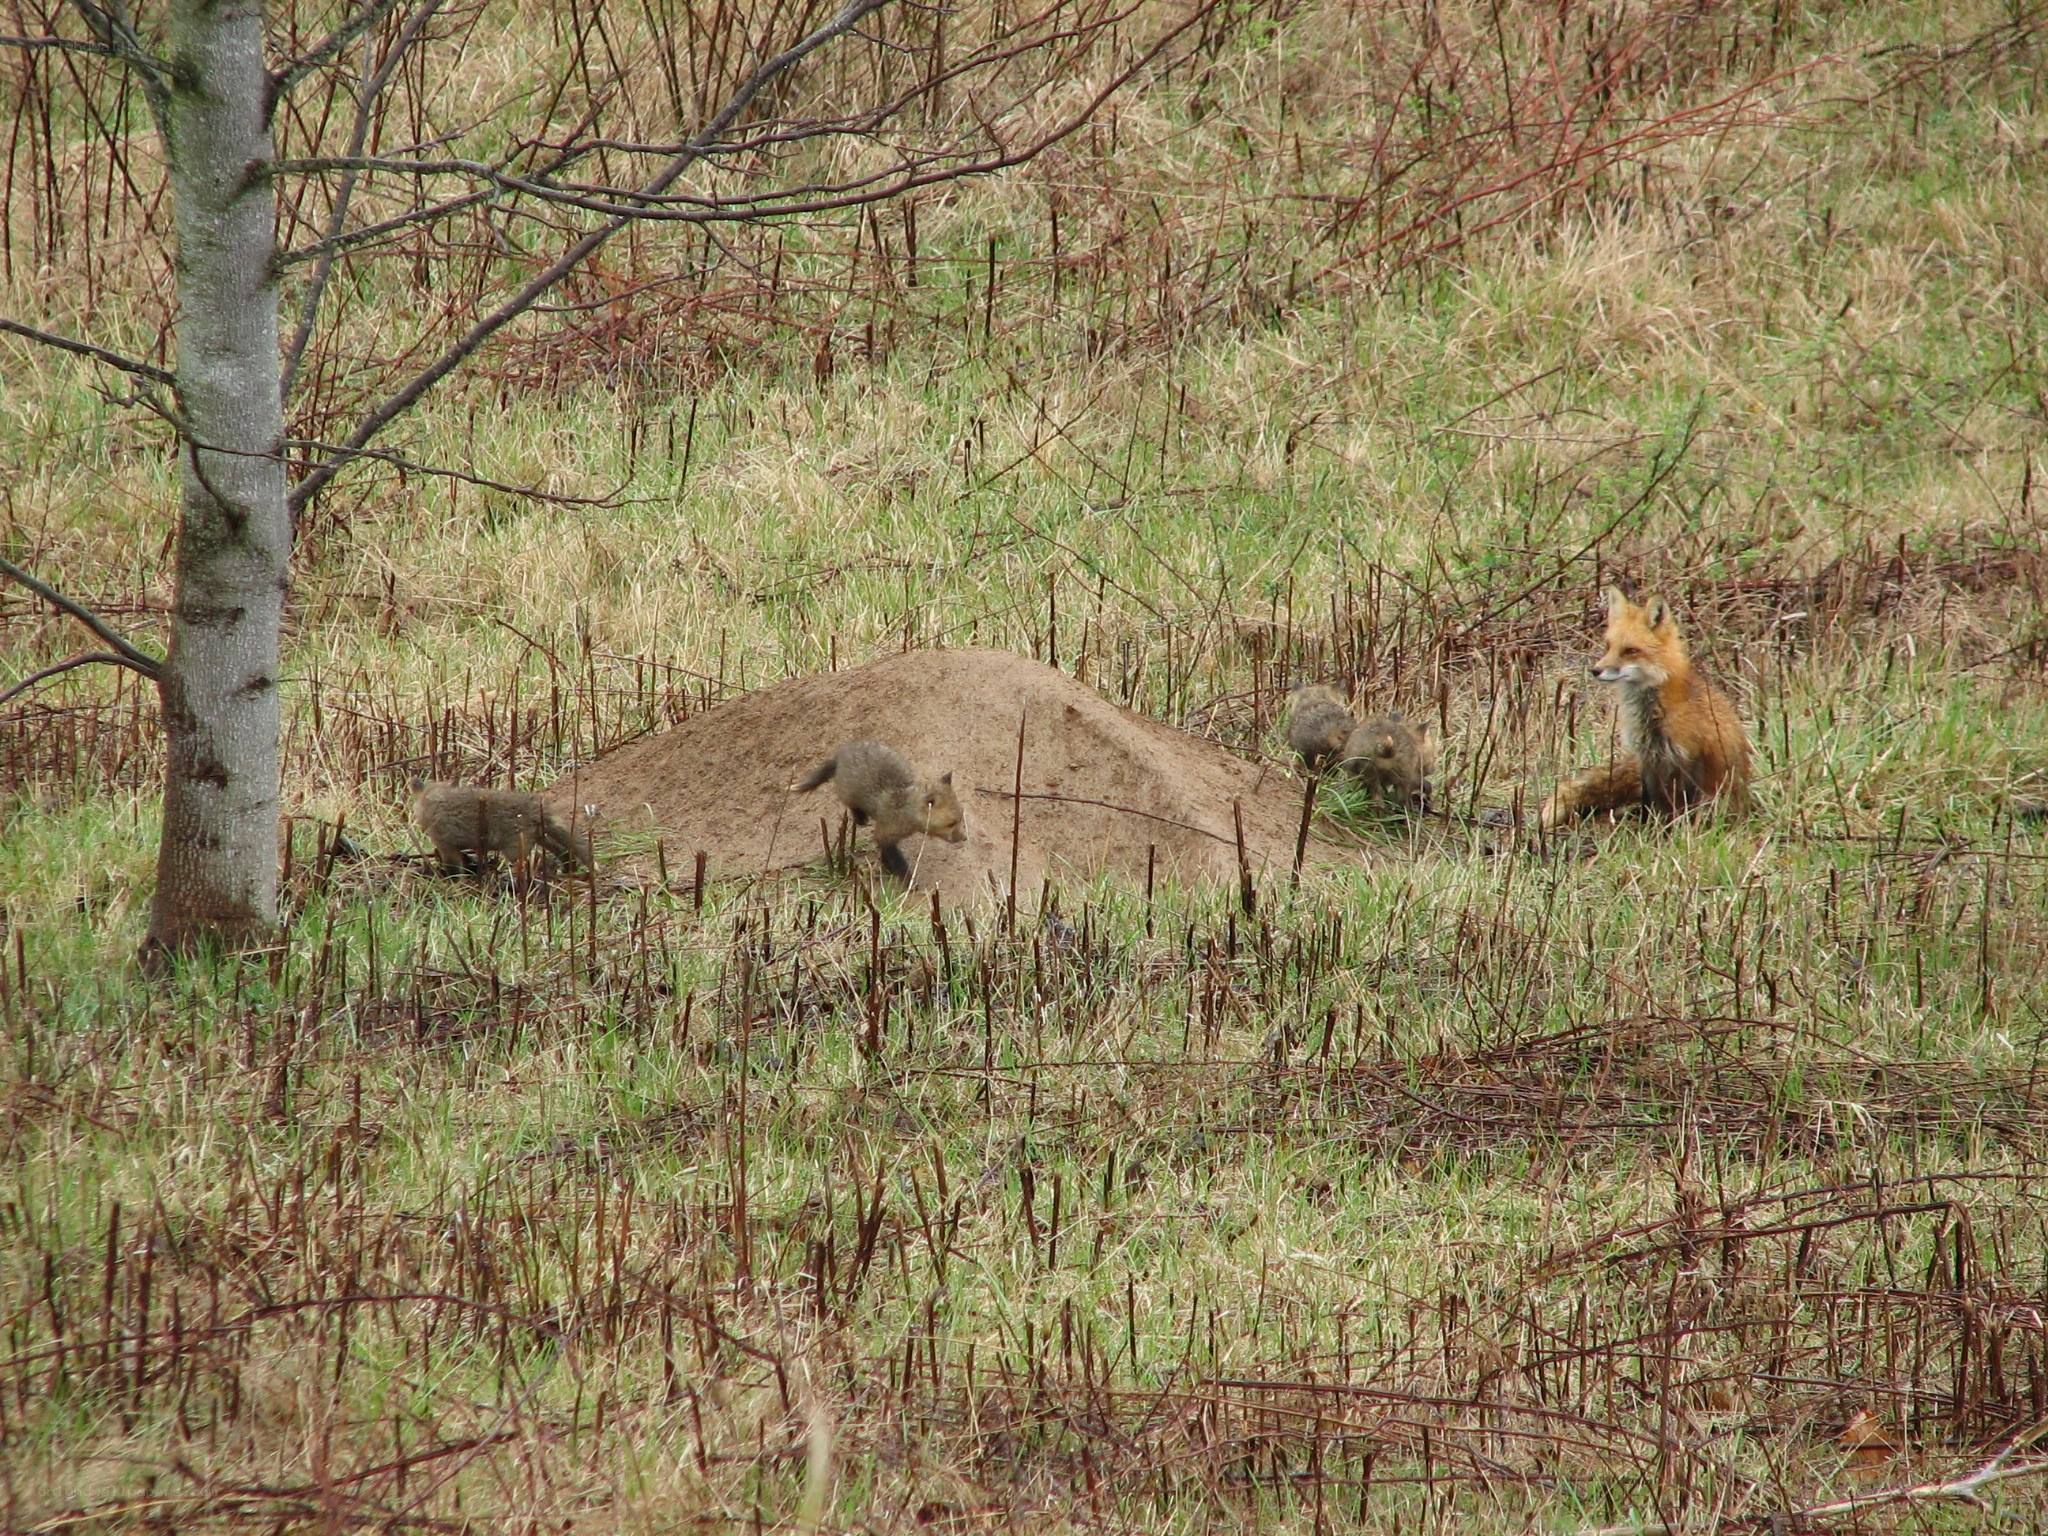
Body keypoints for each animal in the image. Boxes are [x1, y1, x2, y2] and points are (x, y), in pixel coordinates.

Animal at [410, 776, 593, 879]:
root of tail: (536, 806)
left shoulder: (446, 845)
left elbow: (454, 870)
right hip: (539, 837)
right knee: (565, 852)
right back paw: (567, 870)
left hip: (515, 848)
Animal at [792, 740, 966, 881]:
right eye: (951, 823)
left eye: (961, 818)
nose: (964, 838)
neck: (904, 810)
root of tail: (842, 752)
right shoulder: (884, 834)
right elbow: (895, 859)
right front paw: (906, 879)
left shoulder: (888, 838)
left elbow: (886, 853)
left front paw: (887, 866)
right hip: (848, 793)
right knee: (851, 805)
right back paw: (860, 818)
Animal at [1538, 586, 1751, 830]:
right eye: (1608, 646)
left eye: (1630, 650)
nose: (1596, 671)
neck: (1652, 713)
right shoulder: (1647, 760)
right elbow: (1649, 803)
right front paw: (1649, 829)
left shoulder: (1689, 759)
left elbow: (1686, 804)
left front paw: (1682, 830)